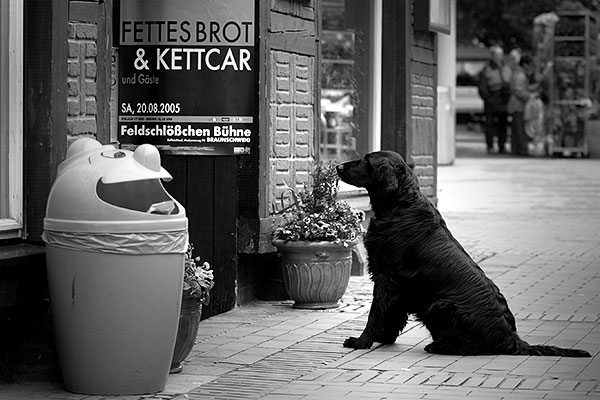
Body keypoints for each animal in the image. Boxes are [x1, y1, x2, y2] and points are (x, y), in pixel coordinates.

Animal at [338, 150, 592, 356]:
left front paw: (361, 341)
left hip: (439, 305)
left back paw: (438, 346)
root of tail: (512, 340)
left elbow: (376, 312)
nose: (338, 167)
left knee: (471, 347)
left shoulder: (388, 276)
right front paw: (383, 337)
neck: (400, 204)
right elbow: (392, 313)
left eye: (366, 160)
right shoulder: (397, 284)